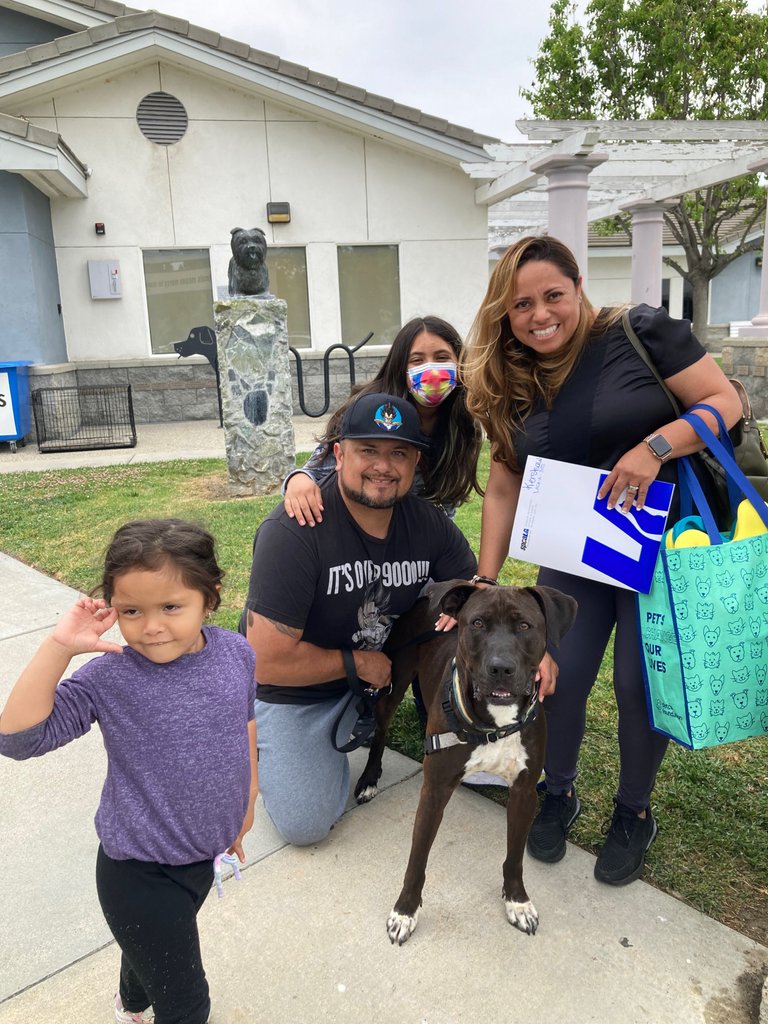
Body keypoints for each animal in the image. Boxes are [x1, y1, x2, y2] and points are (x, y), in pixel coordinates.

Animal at [358, 581, 581, 946]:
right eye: (477, 623)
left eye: (525, 626)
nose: (501, 668)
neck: (495, 725)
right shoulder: (433, 791)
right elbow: (417, 860)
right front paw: (405, 911)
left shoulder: (524, 793)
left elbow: (515, 856)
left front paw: (517, 901)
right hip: (393, 682)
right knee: (380, 733)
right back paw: (369, 780)